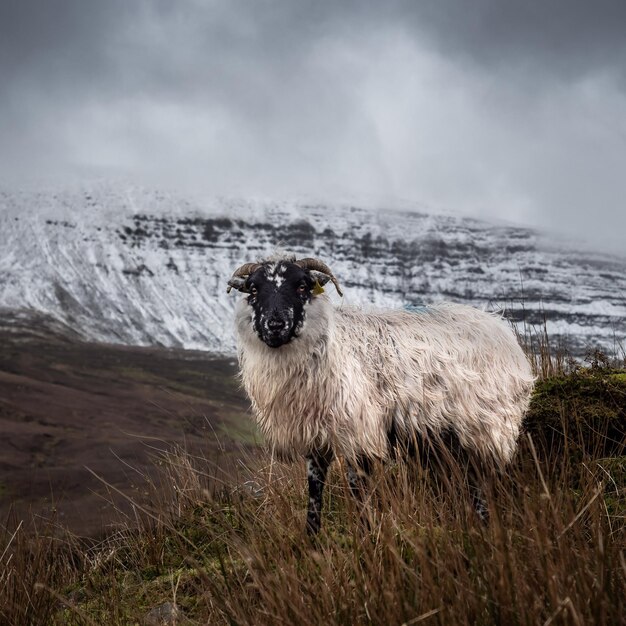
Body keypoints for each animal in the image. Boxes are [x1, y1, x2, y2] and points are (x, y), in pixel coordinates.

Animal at [227, 252, 532, 532]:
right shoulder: (317, 437)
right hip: (443, 439)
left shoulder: (360, 433)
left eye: (302, 286)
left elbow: (358, 492)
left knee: (490, 481)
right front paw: (311, 542)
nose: (275, 325)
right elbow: (314, 493)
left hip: (490, 428)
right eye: (253, 289)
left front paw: (366, 538)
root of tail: (503, 331)